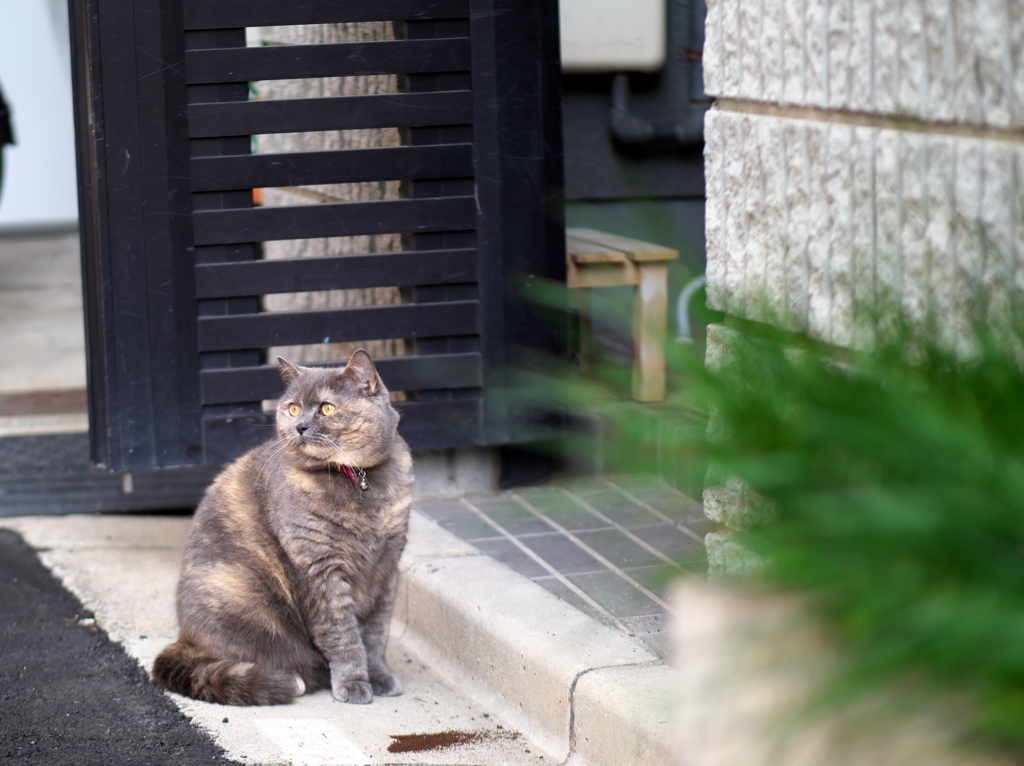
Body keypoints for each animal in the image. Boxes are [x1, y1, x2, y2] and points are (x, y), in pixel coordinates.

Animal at [150, 350, 411, 704]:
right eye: (293, 408)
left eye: (327, 408)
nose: (300, 426)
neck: (359, 481)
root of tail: (185, 636)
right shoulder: (319, 571)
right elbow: (342, 634)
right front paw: (354, 682)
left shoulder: (386, 569)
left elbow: (376, 634)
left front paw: (379, 676)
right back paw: (298, 678)